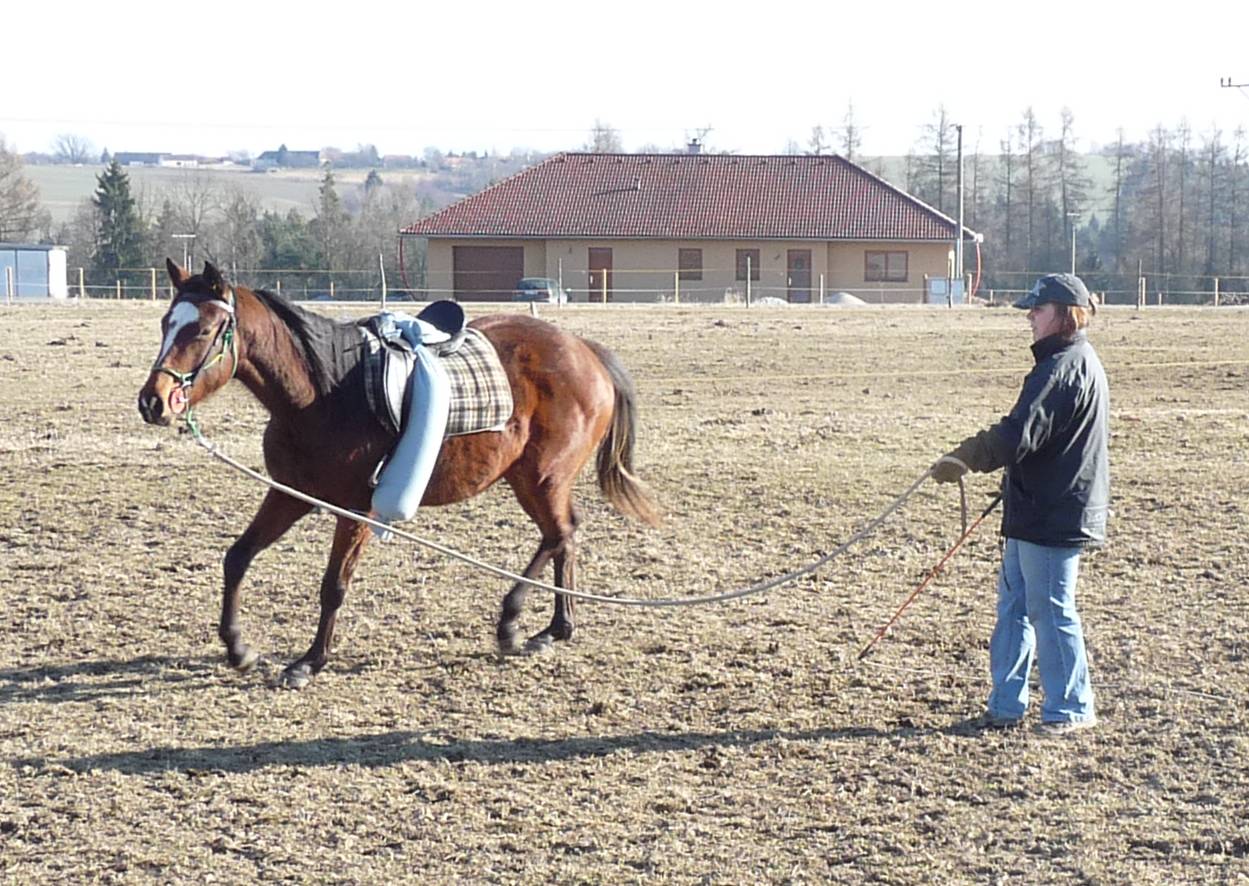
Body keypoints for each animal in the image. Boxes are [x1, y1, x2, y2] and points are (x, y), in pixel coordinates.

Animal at [138, 258, 664, 689]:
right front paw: (238, 648)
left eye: (203, 331)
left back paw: (513, 623)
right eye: (166, 323)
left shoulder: (356, 510)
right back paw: (555, 628)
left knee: (561, 534)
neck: (325, 394)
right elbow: (237, 558)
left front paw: (310, 662)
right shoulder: (289, 495)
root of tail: (585, 350)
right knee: (564, 537)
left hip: (542, 477)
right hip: (531, 479)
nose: (153, 402)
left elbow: (333, 586)